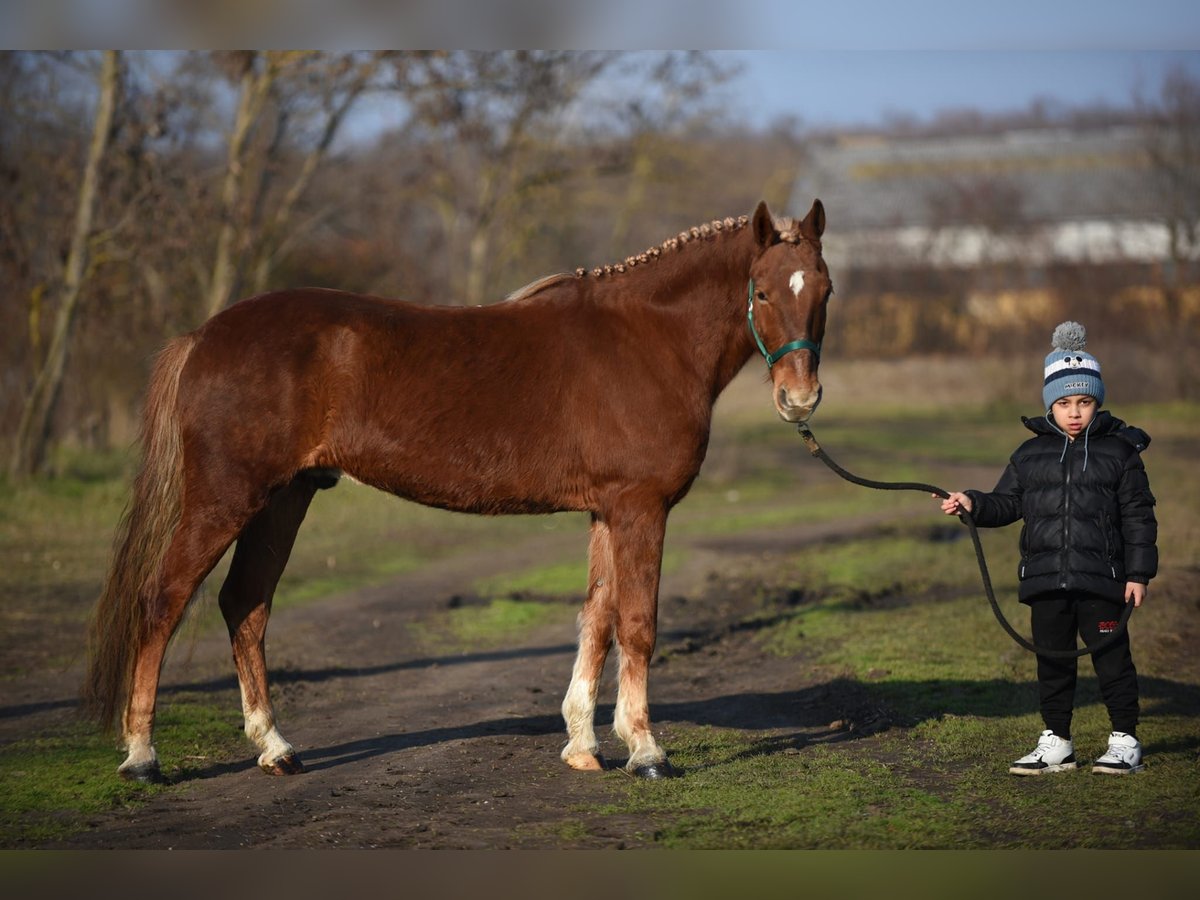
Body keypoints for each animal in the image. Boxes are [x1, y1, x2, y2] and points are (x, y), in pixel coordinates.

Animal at [87, 196, 835, 782]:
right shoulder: (638, 508)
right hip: (225, 498)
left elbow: (595, 617)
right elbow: (637, 624)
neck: (645, 338)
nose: (799, 399)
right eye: (762, 291)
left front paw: (583, 745)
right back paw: (142, 756)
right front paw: (646, 750)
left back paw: (274, 747)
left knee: (245, 605)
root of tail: (204, 334)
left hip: (284, 499)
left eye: (824, 291)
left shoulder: (606, 511)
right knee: (163, 601)